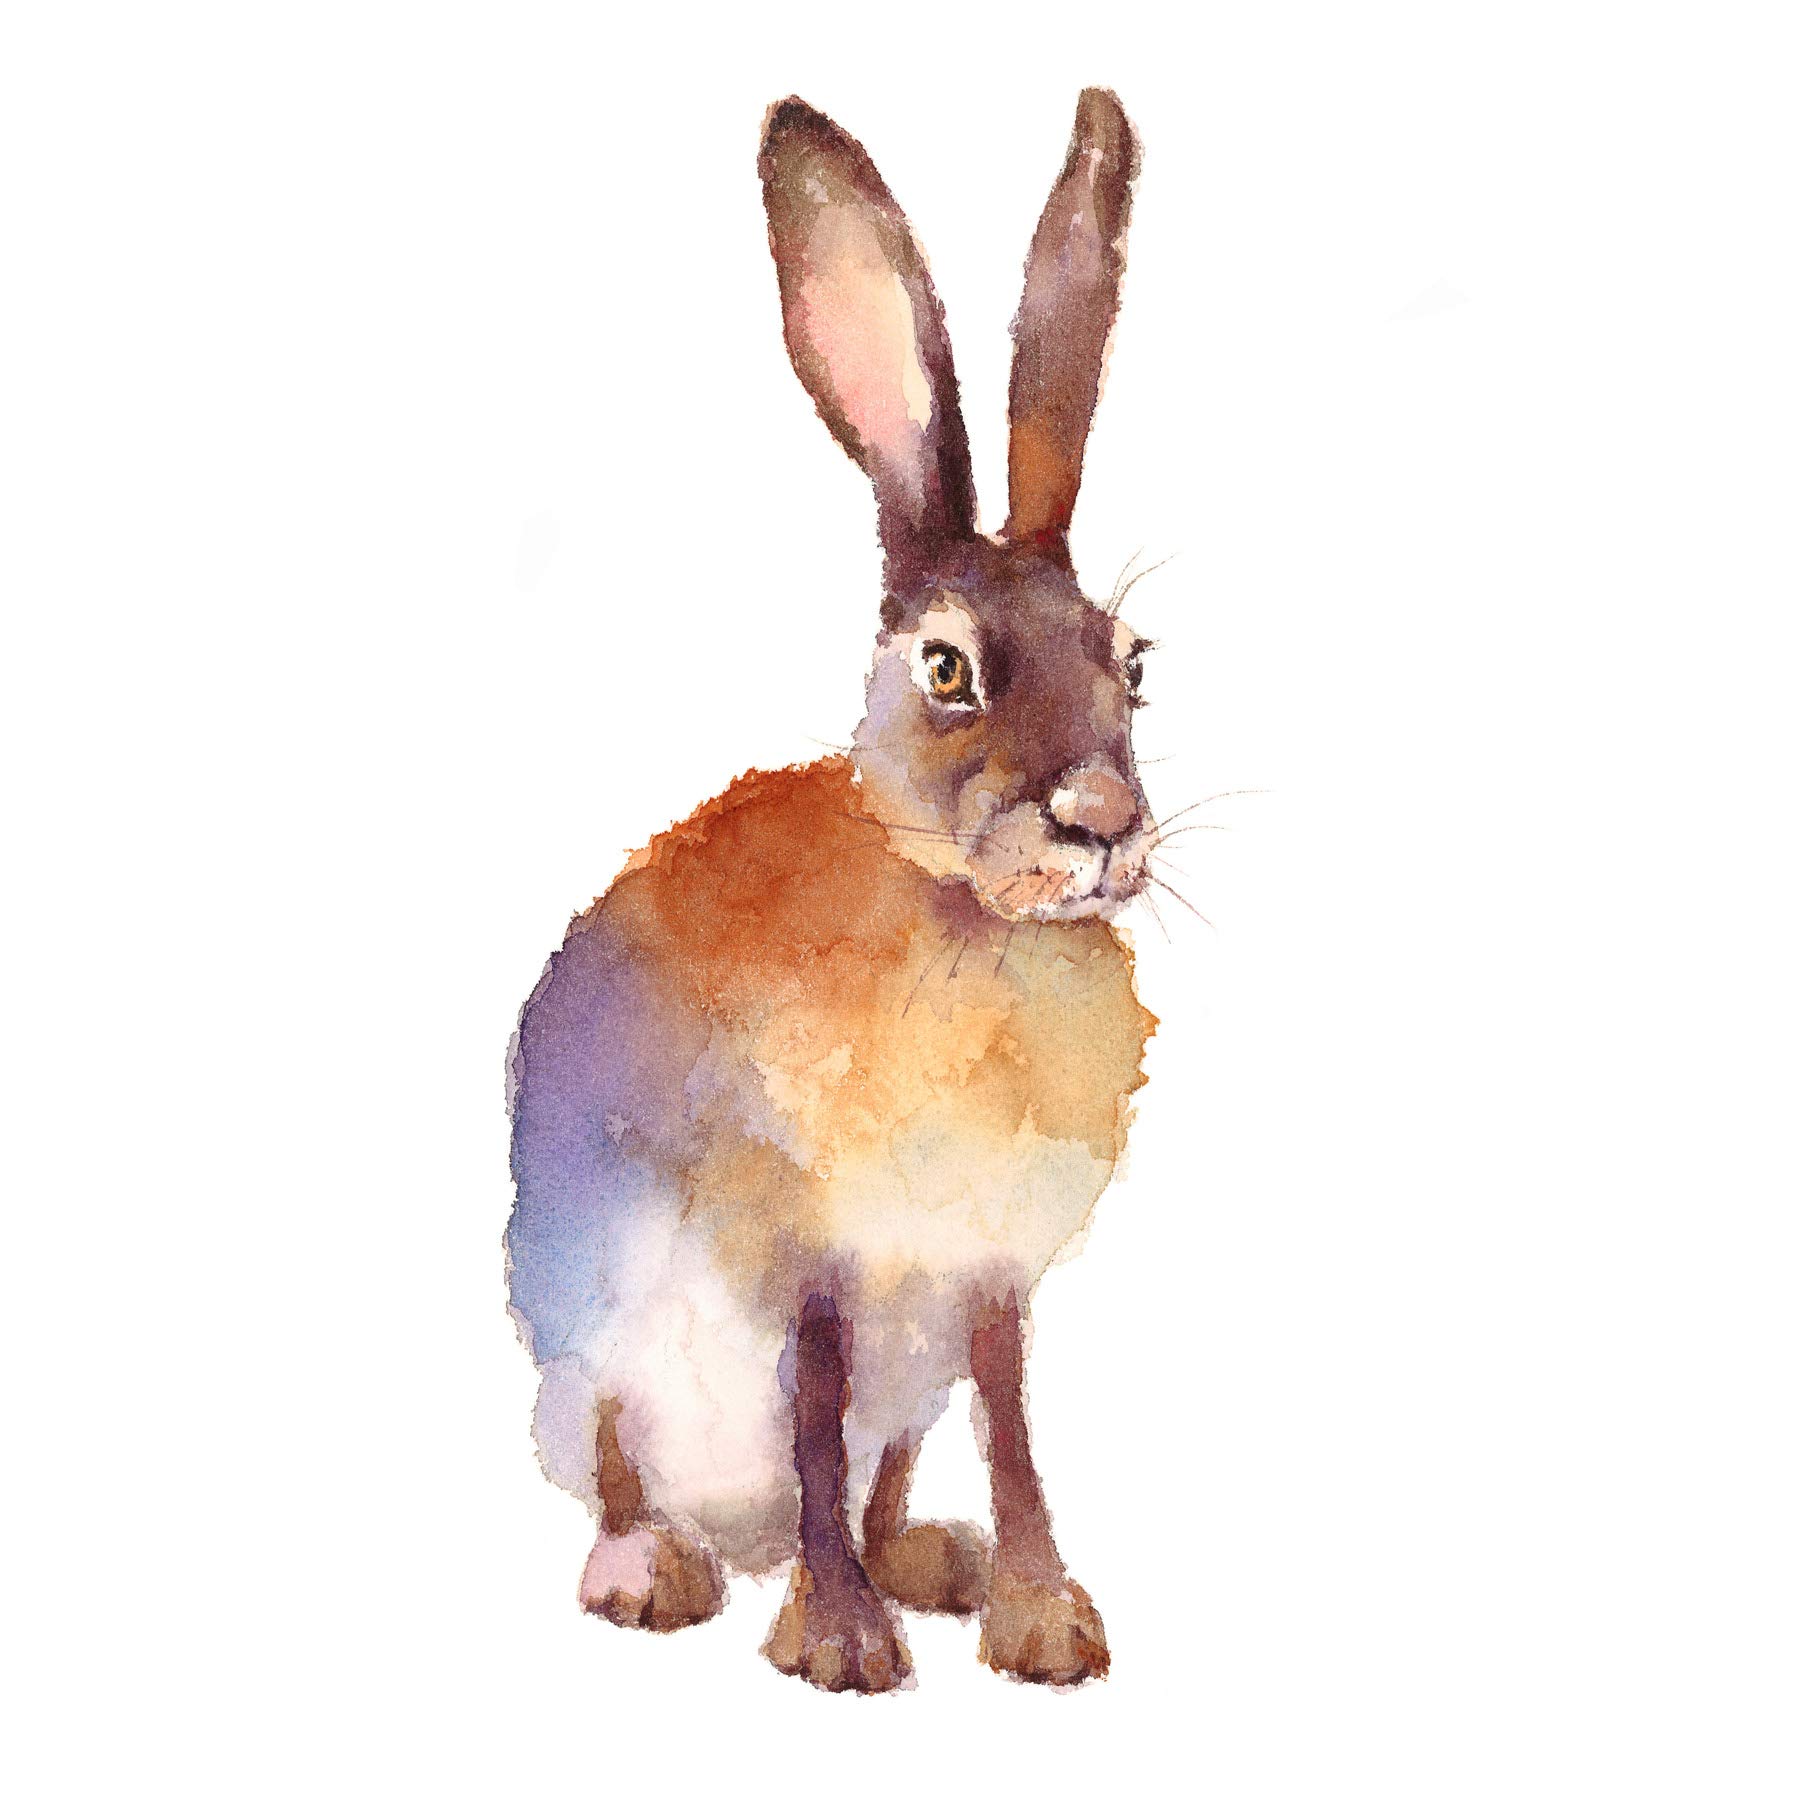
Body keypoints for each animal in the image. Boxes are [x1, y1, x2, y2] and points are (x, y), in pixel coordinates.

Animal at [507, 88, 1161, 1692]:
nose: (1104, 825)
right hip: (591, 1338)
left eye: (1134, 666)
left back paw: (928, 1559)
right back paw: (655, 1572)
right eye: (946, 668)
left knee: (894, 1463)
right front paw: (844, 1646)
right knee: (622, 1461)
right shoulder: (807, 1261)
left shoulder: (983, 1277)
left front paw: (1043, 1621)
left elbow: (1011, 1420)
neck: (971, 923)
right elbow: (810, 1413)